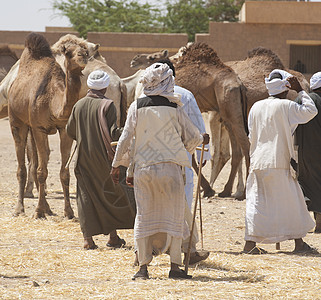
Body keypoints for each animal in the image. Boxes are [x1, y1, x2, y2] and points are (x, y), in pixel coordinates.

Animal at [8, 32, 89, 218]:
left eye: (85, 49)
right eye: (68, 52)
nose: (83, 56)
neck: (54, 102)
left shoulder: (64, 129)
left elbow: (64, 172)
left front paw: (69, 212)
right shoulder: (39, 128)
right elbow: (41, 171)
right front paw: (38, 212)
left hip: (30, 127)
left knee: (35, 162)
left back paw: (48, 209)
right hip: (17, 121)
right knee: (23, 167)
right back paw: (20, 209)